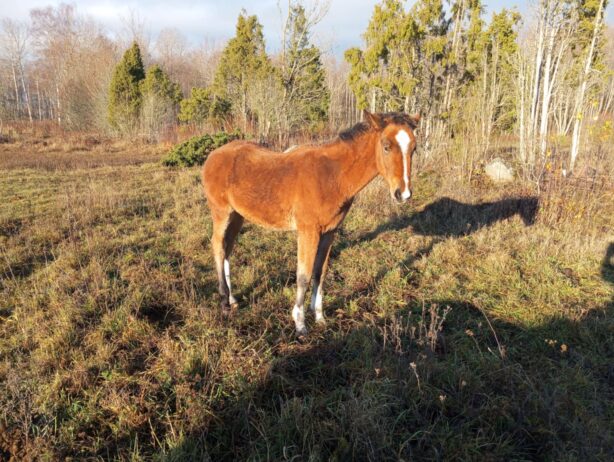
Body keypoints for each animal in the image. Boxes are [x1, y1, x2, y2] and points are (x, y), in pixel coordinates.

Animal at [205, 112, 422, 336]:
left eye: (414, 148)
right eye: (386, 146)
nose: (403, 194)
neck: (332, 175)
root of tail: (213, 155)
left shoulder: (329, 232)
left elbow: (320, 272)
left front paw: (319, 317)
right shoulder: (308, 231)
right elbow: (304, 275)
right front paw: (300, 323)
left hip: (237, 215)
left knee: (228, 248)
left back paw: (232, 299)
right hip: (221, 213)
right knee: (218, 246)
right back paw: (224, 303)